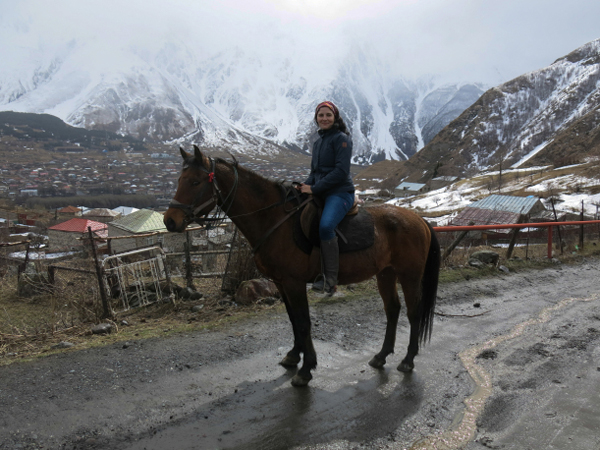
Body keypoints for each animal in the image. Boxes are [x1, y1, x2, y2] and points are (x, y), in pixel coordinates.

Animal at [164, 146, 440, 384]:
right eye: (179, 180)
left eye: (195, 182)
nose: (169, 221)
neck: (274, 219)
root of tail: (419, 219)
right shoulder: (281, 283)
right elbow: (293, 319)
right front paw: (293, 356)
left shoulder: (295, 283)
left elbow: (304, 321)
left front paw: (306, 369)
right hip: (385, 274)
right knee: (392, 309)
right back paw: (381, 356)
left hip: (409, 275)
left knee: (413, 312)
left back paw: (408, 359)